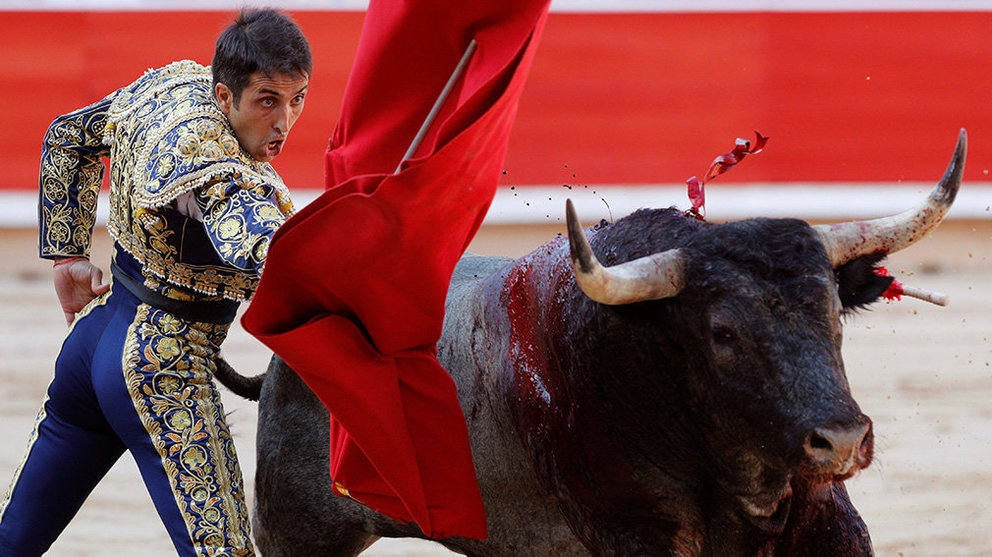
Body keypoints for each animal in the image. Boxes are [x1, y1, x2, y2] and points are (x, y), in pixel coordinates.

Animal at [219, 132, 968, 552]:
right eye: (722, 333)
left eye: (835, 314)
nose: (840, 440)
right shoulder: (630, 531)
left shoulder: (825, 521)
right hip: (294, 529)